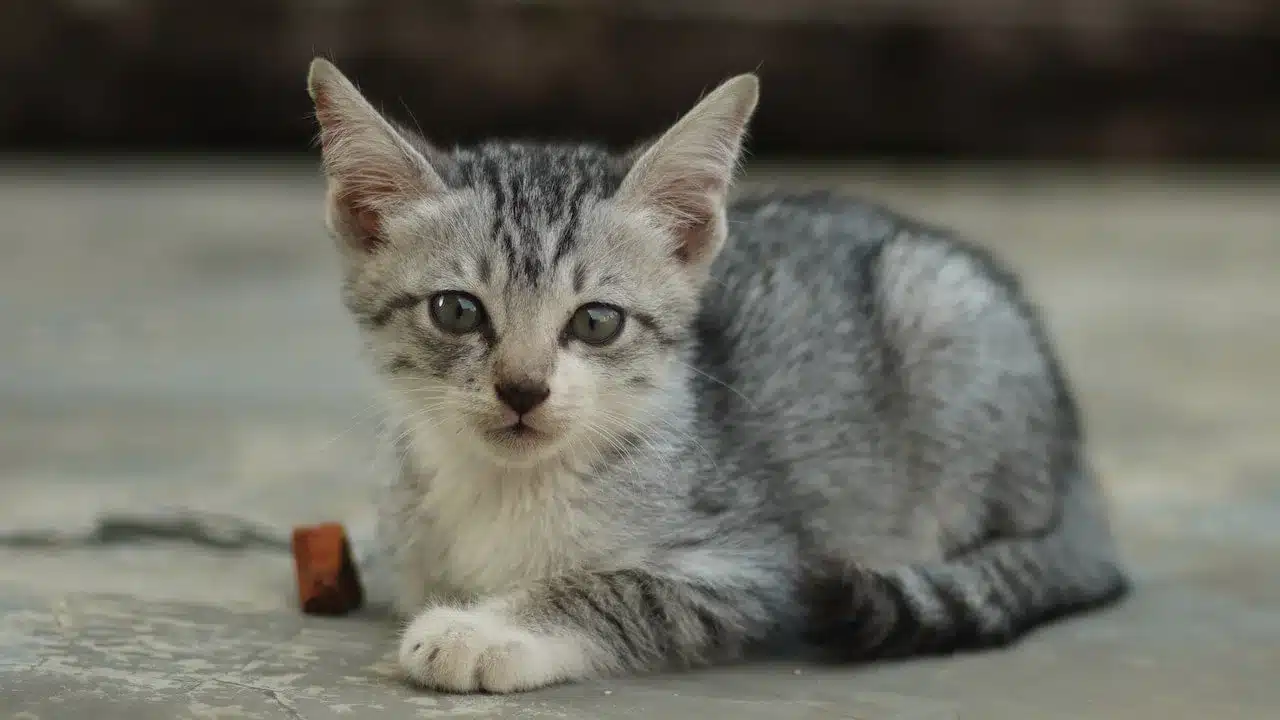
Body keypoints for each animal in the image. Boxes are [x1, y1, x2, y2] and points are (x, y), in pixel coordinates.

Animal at [309, 58, 1131, 691]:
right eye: (455, 311)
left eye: (596, 322)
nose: (522, 389)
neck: (511, 491)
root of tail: (1078, 471)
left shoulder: (753, 566)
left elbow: (620, 590)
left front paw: (486, 632)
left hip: (941, 312)